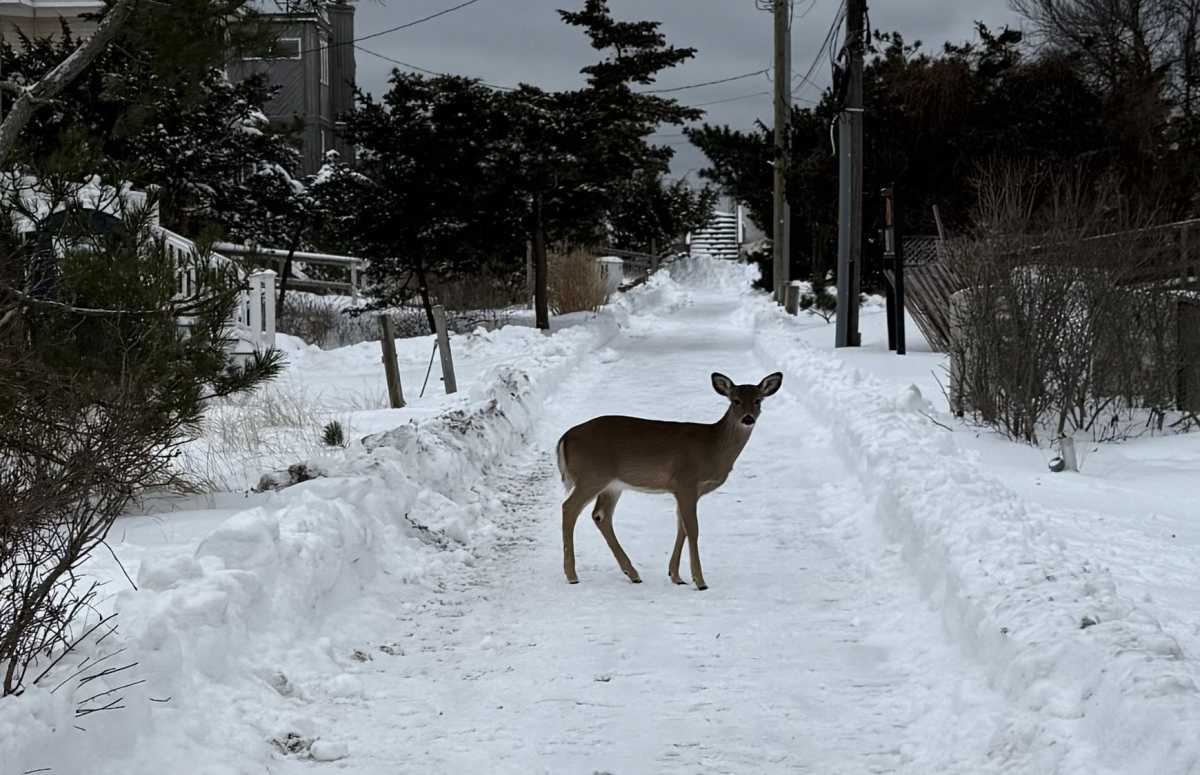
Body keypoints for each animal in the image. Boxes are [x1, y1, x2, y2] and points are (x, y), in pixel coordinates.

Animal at [555, 371, 783, 590]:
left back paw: (633, 574)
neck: (712, 448)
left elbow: (681, 527)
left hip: (612, 484)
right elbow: (693, 529)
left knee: (600, 515)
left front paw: (676, 576)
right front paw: (700, 581)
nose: (748, 418)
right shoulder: (686, 481)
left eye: (758, 400)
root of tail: (564, 438)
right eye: (735, 400)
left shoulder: (686, 491)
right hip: (591, 475)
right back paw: (572, 575)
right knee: (569, 508)